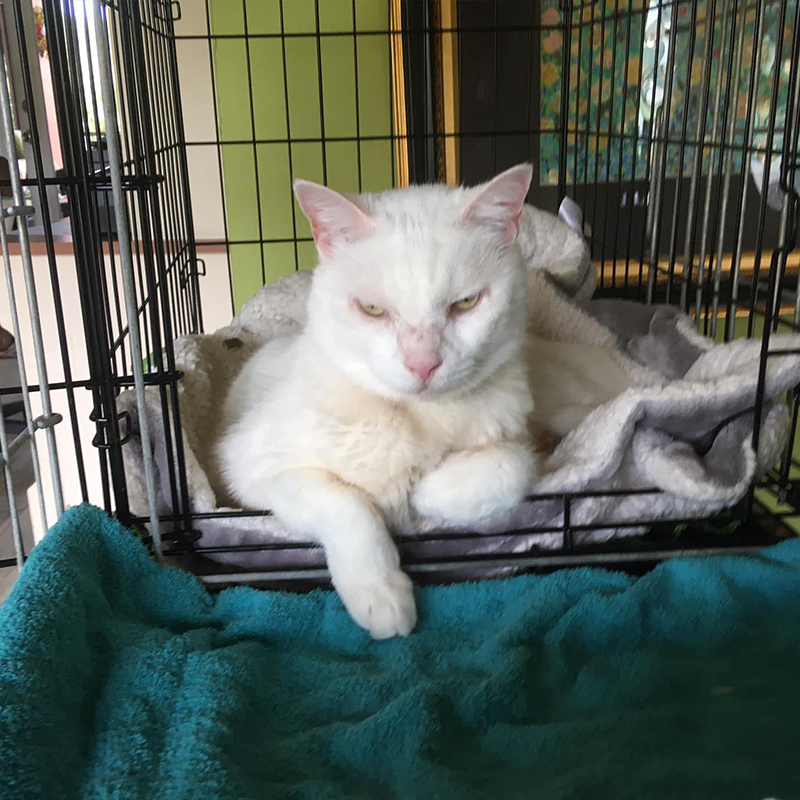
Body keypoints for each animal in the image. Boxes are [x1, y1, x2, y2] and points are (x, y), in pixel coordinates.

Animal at [219, 166, 544, 640]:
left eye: (466, 303)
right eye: (372, 309)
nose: (423, 364)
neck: (414, 417)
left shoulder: (520, 435)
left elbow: (510, 466)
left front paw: (427, 492)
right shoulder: (252, 468)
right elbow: (347, 502)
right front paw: (381, 593)